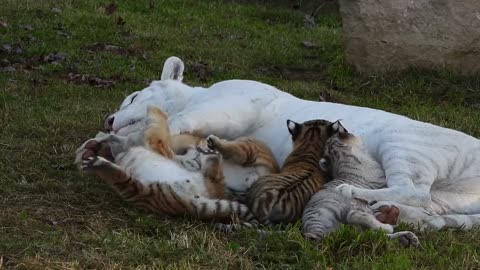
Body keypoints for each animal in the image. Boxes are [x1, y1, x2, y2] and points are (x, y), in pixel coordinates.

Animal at [103, 56, 480, 230]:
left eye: (132, 96)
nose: (108, 118)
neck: (198, 92)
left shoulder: (230, 104)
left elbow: (181, 120)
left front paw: (118, 137)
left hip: (403, 146)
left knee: (413, 190)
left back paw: (354, 192)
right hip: (448, 198)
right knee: (432, 208)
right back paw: (391, 213)